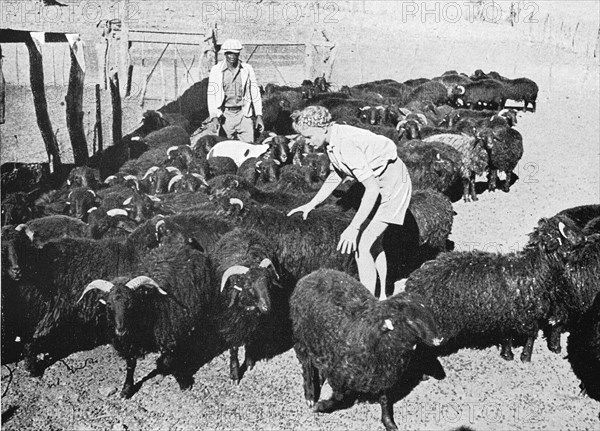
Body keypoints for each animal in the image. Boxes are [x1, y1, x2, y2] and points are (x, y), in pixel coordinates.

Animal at [290, 270, 440, 431]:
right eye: (410, 321)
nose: (439, 340)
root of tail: (315, 273)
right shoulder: (340, 374)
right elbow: (338, 397)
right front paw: (321, 406)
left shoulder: (383, 374)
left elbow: (385, 399)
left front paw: (388, 422)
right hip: (303, 337)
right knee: (306, 363)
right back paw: (310, 394)